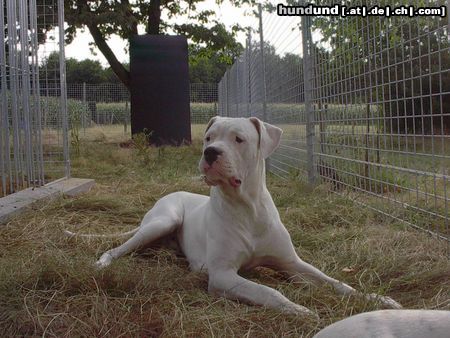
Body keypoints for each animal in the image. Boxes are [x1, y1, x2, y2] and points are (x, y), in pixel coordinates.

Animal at [67, 117, 400, 316]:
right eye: (208, 137)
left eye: (239, 139)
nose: (210, 152)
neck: (247, 208)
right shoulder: (223, 275)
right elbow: (268, 291)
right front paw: (299, 310)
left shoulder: (293, 264)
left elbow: (337, 283)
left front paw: (378, 299)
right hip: (162, 221)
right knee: (116, 248)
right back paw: (102, 264)